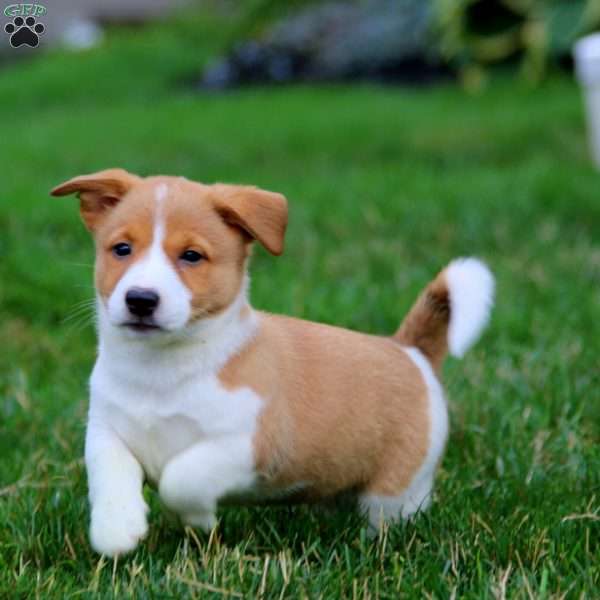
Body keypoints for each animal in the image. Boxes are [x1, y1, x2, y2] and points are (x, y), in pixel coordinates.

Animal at [51, 166, 494, 556]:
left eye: (191, 256)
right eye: (122, 249)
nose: (141, 299)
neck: (161, 368)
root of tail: (409, 349)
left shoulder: (250, 444)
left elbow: (180, 478)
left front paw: (197, 519)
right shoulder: (107, 432)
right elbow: (110, 475)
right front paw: (117, 529)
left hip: (398, 490)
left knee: (389, 517)